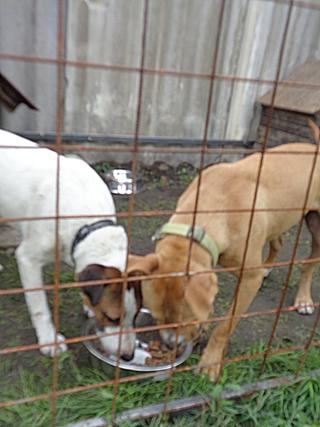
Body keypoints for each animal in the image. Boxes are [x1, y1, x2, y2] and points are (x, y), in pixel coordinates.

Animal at [0, 131, 138, 362]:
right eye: (112, 318)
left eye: (136, 316)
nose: (128, 356)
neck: (87, 222)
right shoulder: (28, 258)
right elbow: (40, 308)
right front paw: (49, 341)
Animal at [129, 120, 320, 382]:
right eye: (156, 318)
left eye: (182, 319)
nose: (168, 346)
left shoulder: (249, 279)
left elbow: (225, 326)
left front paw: (210, 362)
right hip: (277, 219)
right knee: (277, 242)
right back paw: (269, 269)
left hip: (316, 227)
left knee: (309, 262)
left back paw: (303, 299)